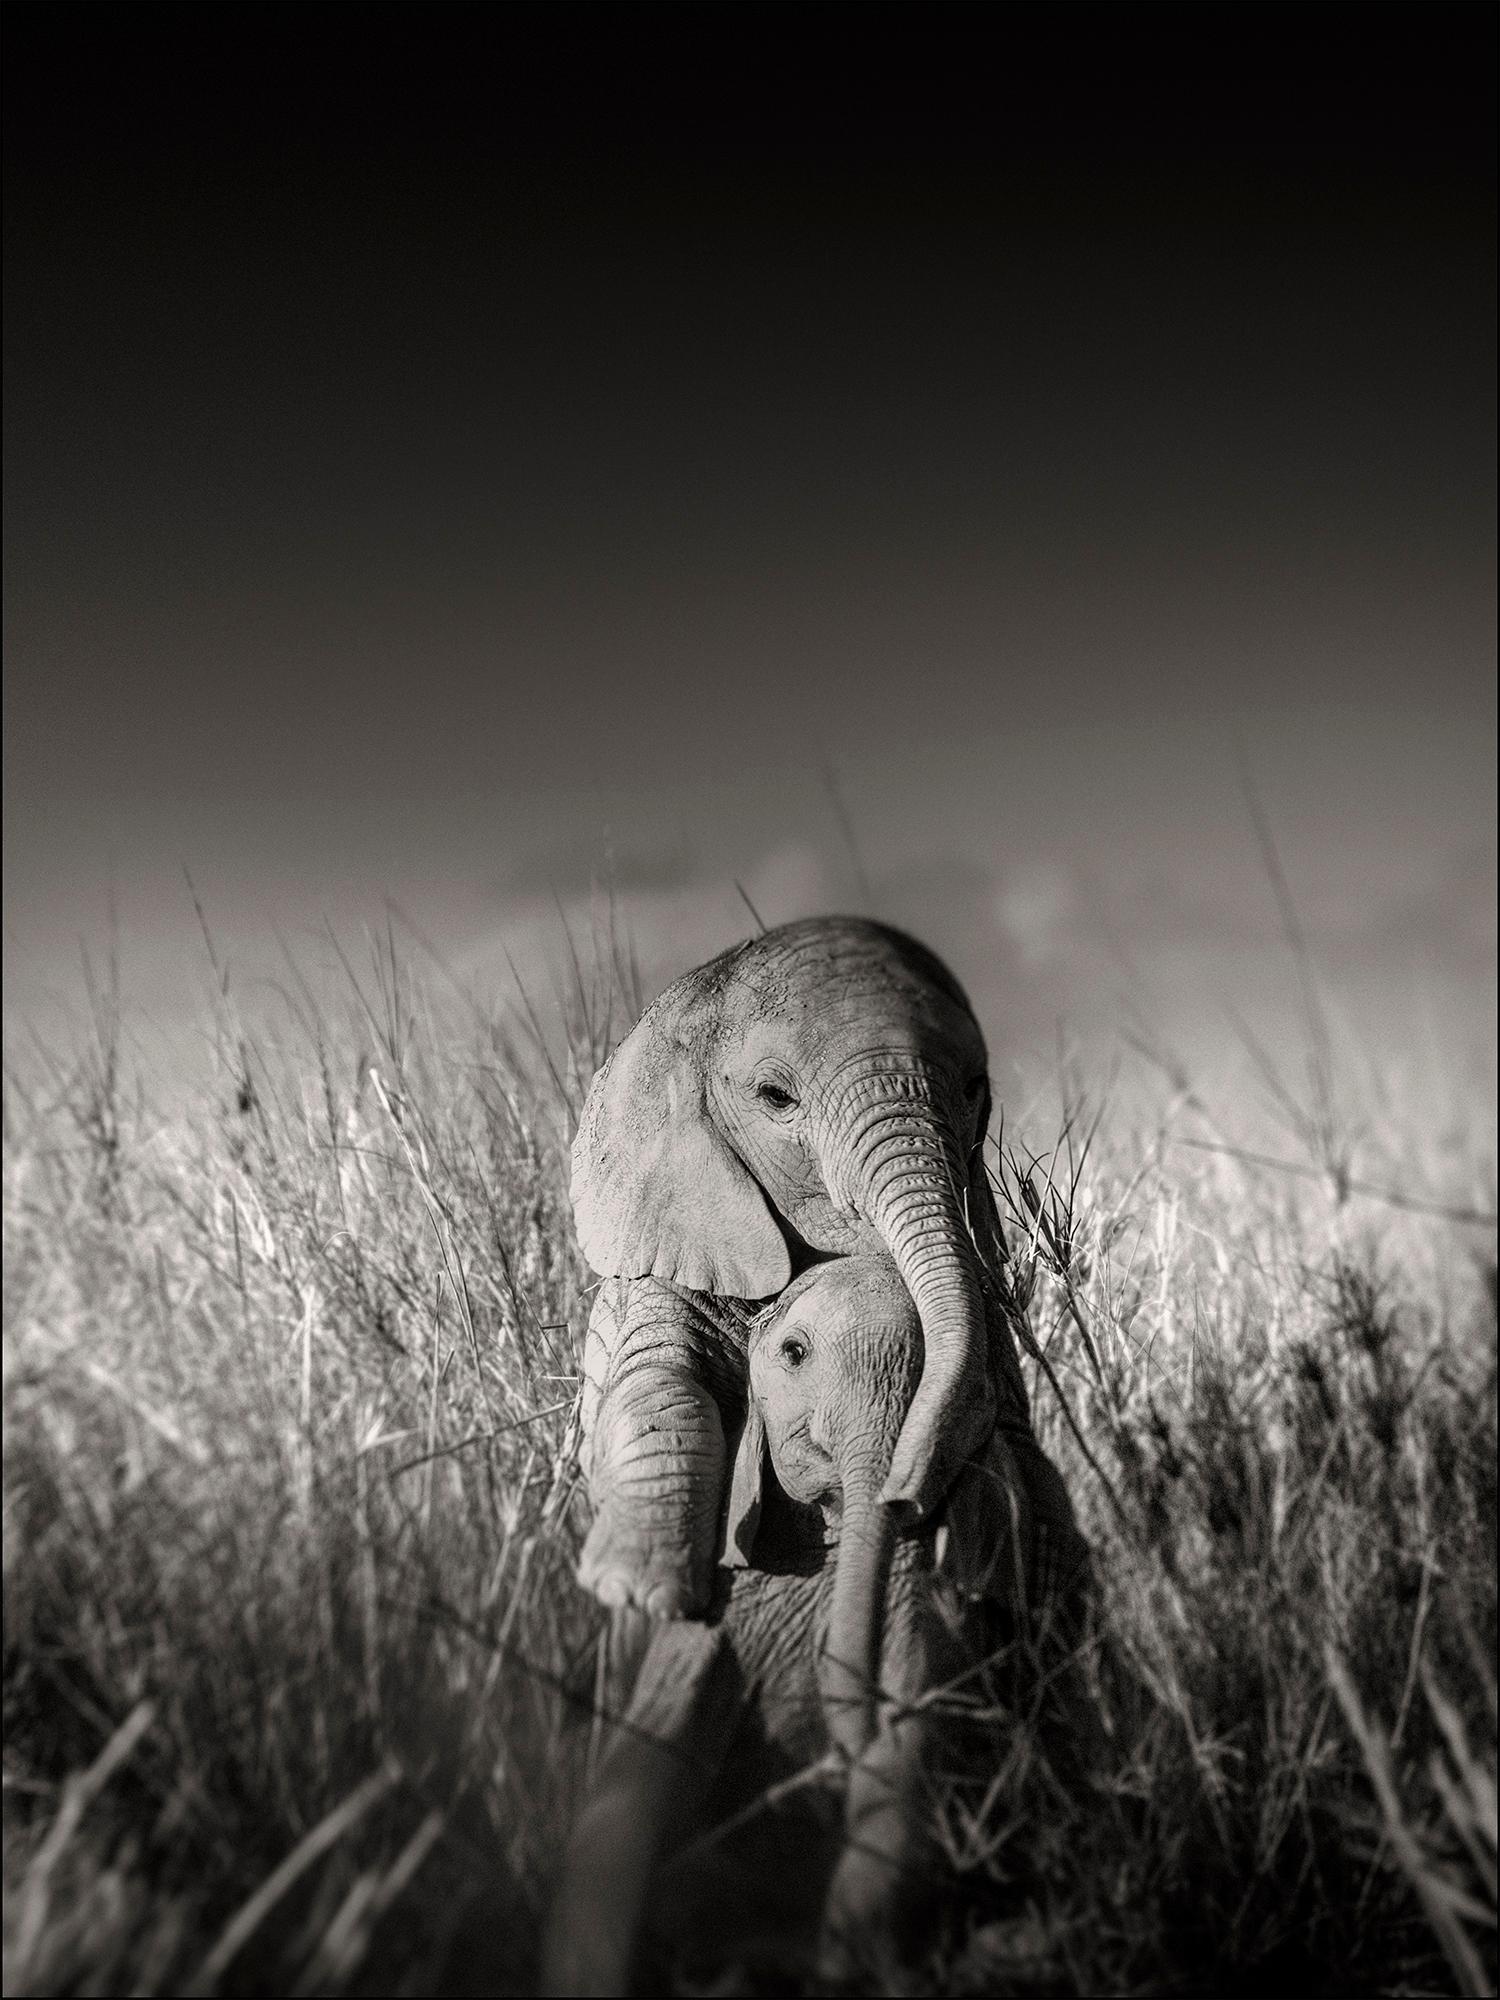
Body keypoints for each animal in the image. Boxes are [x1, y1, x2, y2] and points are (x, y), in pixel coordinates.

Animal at [548, 1256, 1088, 1992]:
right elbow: (639, 1770)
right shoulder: (718, 1612)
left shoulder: (918, 1607)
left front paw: (853, 1960)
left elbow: (911, 1750)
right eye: (794, 1353)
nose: (904, 1499)